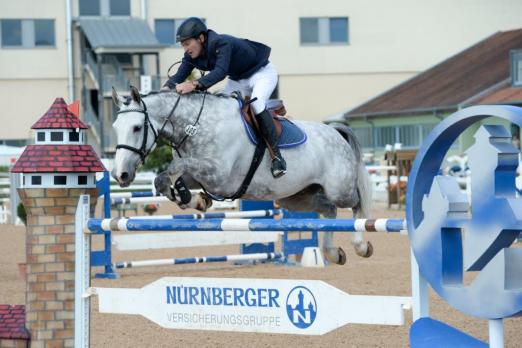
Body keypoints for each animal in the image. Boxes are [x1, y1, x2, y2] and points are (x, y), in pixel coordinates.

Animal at [110, 86, 370, 264]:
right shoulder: (203, 176)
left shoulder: (218, 176)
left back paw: (361, 245)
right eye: (114, 128)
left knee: (356, 204)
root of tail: (335, 131)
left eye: (137, 127)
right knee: (329, 210)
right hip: (295, 197)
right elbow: (166, 178)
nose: (120, 174)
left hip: (339, 189)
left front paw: (191, 198)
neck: (197, 126)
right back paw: (333, 253)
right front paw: (194, 200)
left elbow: (177, 167)